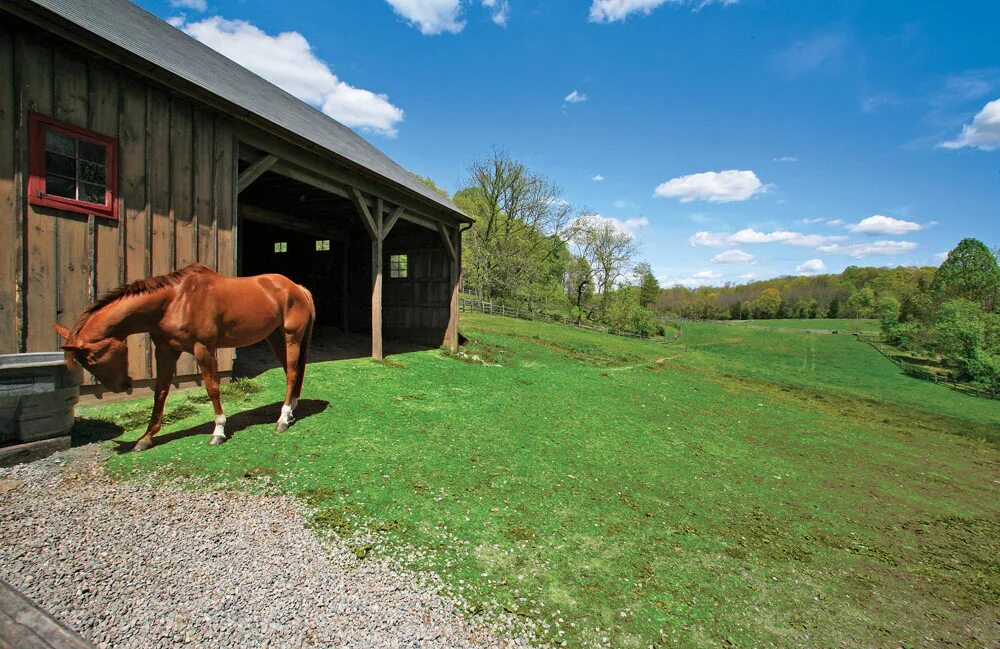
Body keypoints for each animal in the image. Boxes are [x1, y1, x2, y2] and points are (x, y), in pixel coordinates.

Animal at [50, 264, 314, 450]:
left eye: (93, 360)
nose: (124, 386)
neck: (175, 301)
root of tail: (297, 288)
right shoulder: (166, 351)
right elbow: (160, 392)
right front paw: (146, 437)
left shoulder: (203, 348)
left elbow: (212, 388)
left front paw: (218, 431)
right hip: (273, 336)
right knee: (291, 370)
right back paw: (290, 409)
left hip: (291, 336)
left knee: (292, 372)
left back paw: (282, 419)